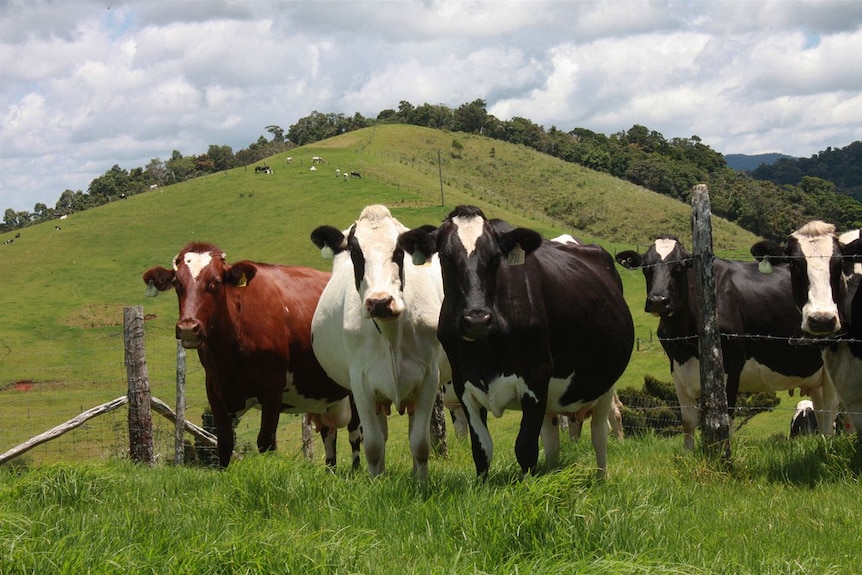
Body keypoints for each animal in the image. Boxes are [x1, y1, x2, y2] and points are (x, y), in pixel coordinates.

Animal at [143, 242, 360, 468]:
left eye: (216, 282)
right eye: (177, 283)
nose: (188, 328)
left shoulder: (273, 388)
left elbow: (266, 442)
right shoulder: (214, 388)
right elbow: (224, 443)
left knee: (356, 434)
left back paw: (356, 471)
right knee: (329, 433)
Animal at [310, 205, 446, 480]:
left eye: (399, 251)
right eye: (355, 252)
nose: (380, 301)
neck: (391, 334)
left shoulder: (429, 378)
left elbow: (420, 443)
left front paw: (422, 482)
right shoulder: (361, 385)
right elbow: (373, 445)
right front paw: (375, 483)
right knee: (380, 436)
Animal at [400, 205, 636, 480]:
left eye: (495, 257)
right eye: (446, 258)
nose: (477, 319)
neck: (485, 354)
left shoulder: (536, 378)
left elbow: (525, 447)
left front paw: (528, 484)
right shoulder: (464, 384)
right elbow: (481, 449)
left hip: (604, 384)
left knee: (600, 432)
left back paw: (601, 477)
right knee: (552, 437)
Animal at [616, 234, 840, 450]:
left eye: (679, 266)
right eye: (646, 267)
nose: (658, 300)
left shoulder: (731, 368)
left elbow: (725, 420)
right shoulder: (677, 370)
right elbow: (688, 422)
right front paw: (688, 454)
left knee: (830, 412)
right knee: (822, 414)